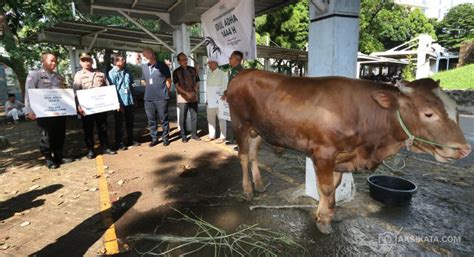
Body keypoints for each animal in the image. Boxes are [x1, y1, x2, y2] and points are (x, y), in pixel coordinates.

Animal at [226, 69, 470, 233]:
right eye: (429, 113)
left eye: (456, 109)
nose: (464, 149)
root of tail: (244, 73)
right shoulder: (324, 153)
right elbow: (325, 188)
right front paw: (324, 221)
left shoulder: (341, 157)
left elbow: (333, 187)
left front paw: (325, 214)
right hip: (240, 124)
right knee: (243, 156)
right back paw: (247, 190)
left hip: (258, 129)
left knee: (254, 154)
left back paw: (259, 184)